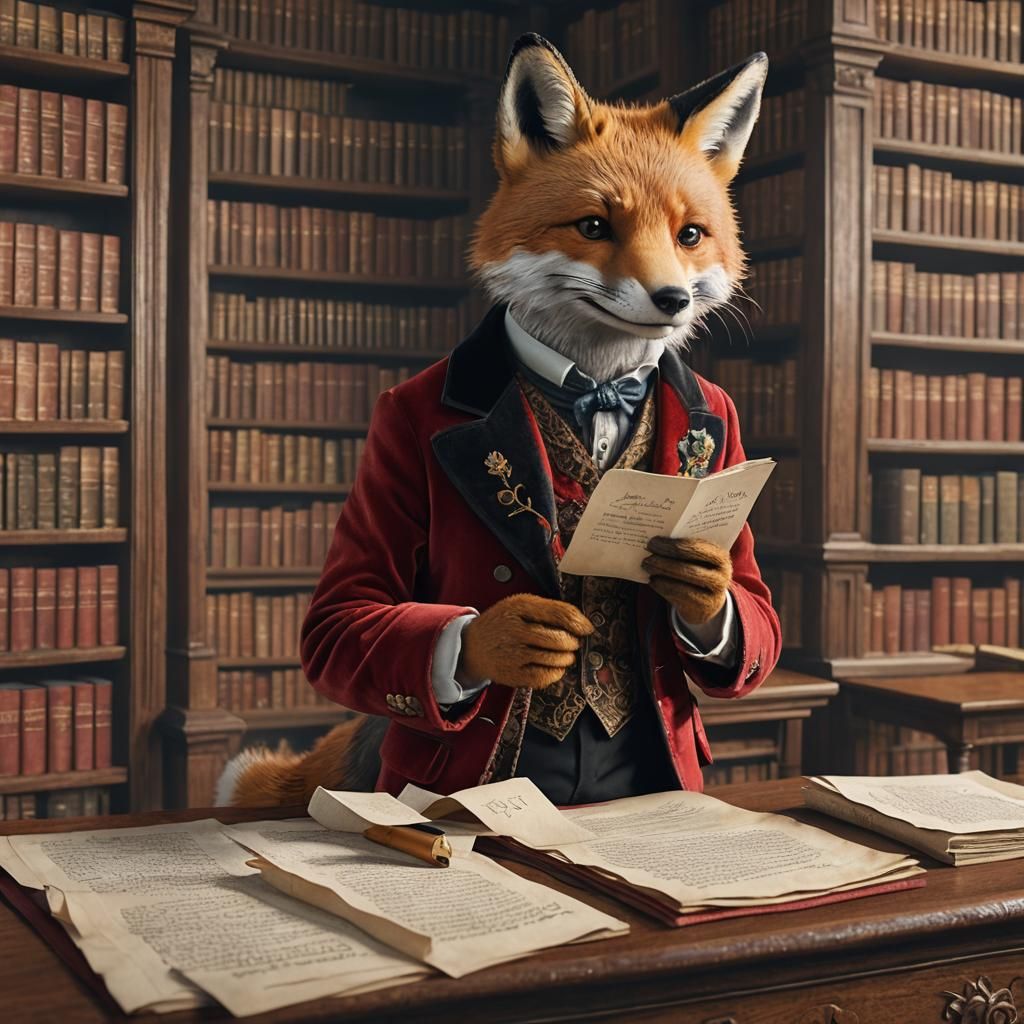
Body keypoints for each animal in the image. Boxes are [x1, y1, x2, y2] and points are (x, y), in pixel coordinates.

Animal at [217, 34, 778, 809]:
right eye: (594, 226)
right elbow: (357, 608)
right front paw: (509, 640)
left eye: (689, 234)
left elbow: (752, 605)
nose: (671, 299)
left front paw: (703, 586)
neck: (597, 388)